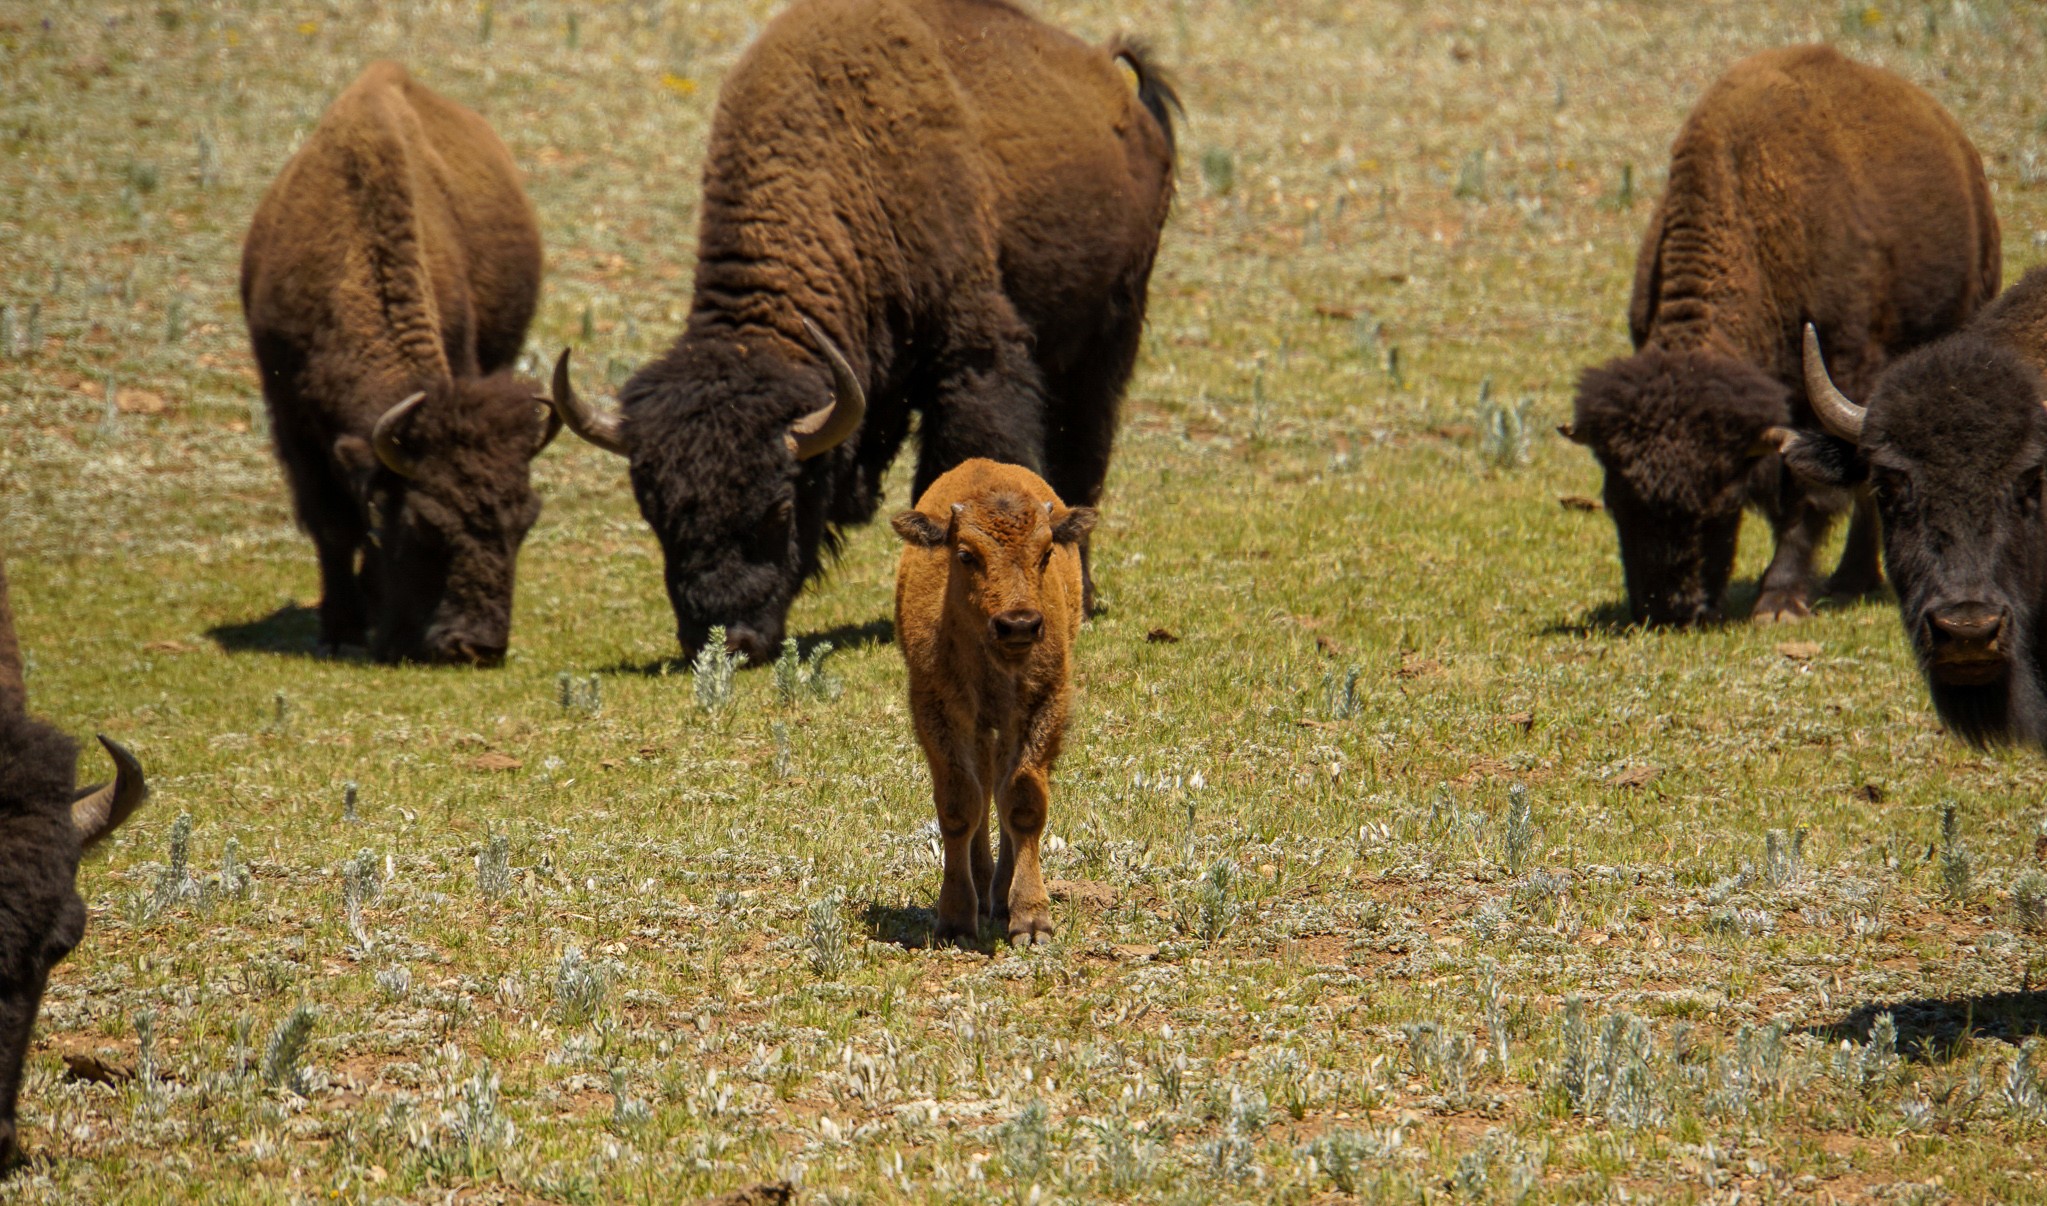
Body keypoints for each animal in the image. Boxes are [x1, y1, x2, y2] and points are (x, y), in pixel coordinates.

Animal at [240, 61, 556, 663]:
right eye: (425, 525)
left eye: (527, 521)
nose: (475, 646)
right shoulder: (294, 423)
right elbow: (334, 526)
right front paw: (340, 631)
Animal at [548, 0, 1187, 659]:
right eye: (656, 515)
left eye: (781, 508)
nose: (728, 640)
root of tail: (1117, 87)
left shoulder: (972, 355)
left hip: (1110, 335)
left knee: (1083, 456)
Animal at [1555, 44, 1989, 630]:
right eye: (1615, 498)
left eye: (1723, 500)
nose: (1671, 610)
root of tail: (1958, 144)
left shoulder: (1837, 373)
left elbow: (1811, 492)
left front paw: (1778, 604)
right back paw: (1853, 579)